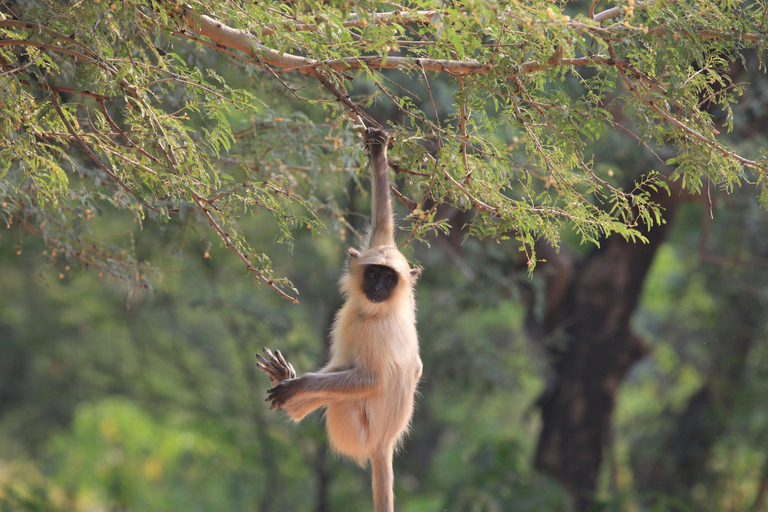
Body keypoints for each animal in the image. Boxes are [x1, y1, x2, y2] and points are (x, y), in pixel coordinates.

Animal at [260, 127, 426, 512]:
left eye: (389, 279)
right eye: (373, 274)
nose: (378, 287)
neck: (373, 311)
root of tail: (384, 446)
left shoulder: (379, 332)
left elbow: (371, 380)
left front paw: (297, 386)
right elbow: (383, 226)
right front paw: (378, 153)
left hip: (352, 427)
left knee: (342, 386)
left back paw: (292, 394)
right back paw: (285, 380)